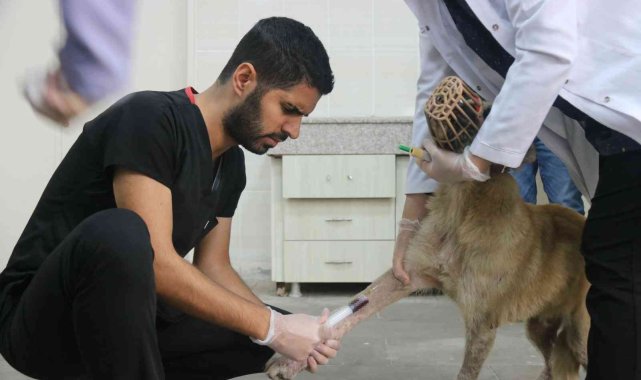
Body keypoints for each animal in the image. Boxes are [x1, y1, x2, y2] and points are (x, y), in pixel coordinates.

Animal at [264, 171, 592, 378]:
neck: (465, 203)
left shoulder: (482, 324)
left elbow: (466, 373)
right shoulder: (407, 274)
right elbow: (358, 303)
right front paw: (292, 355)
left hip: (580, 334)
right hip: (538, 328)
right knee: (552, 366)